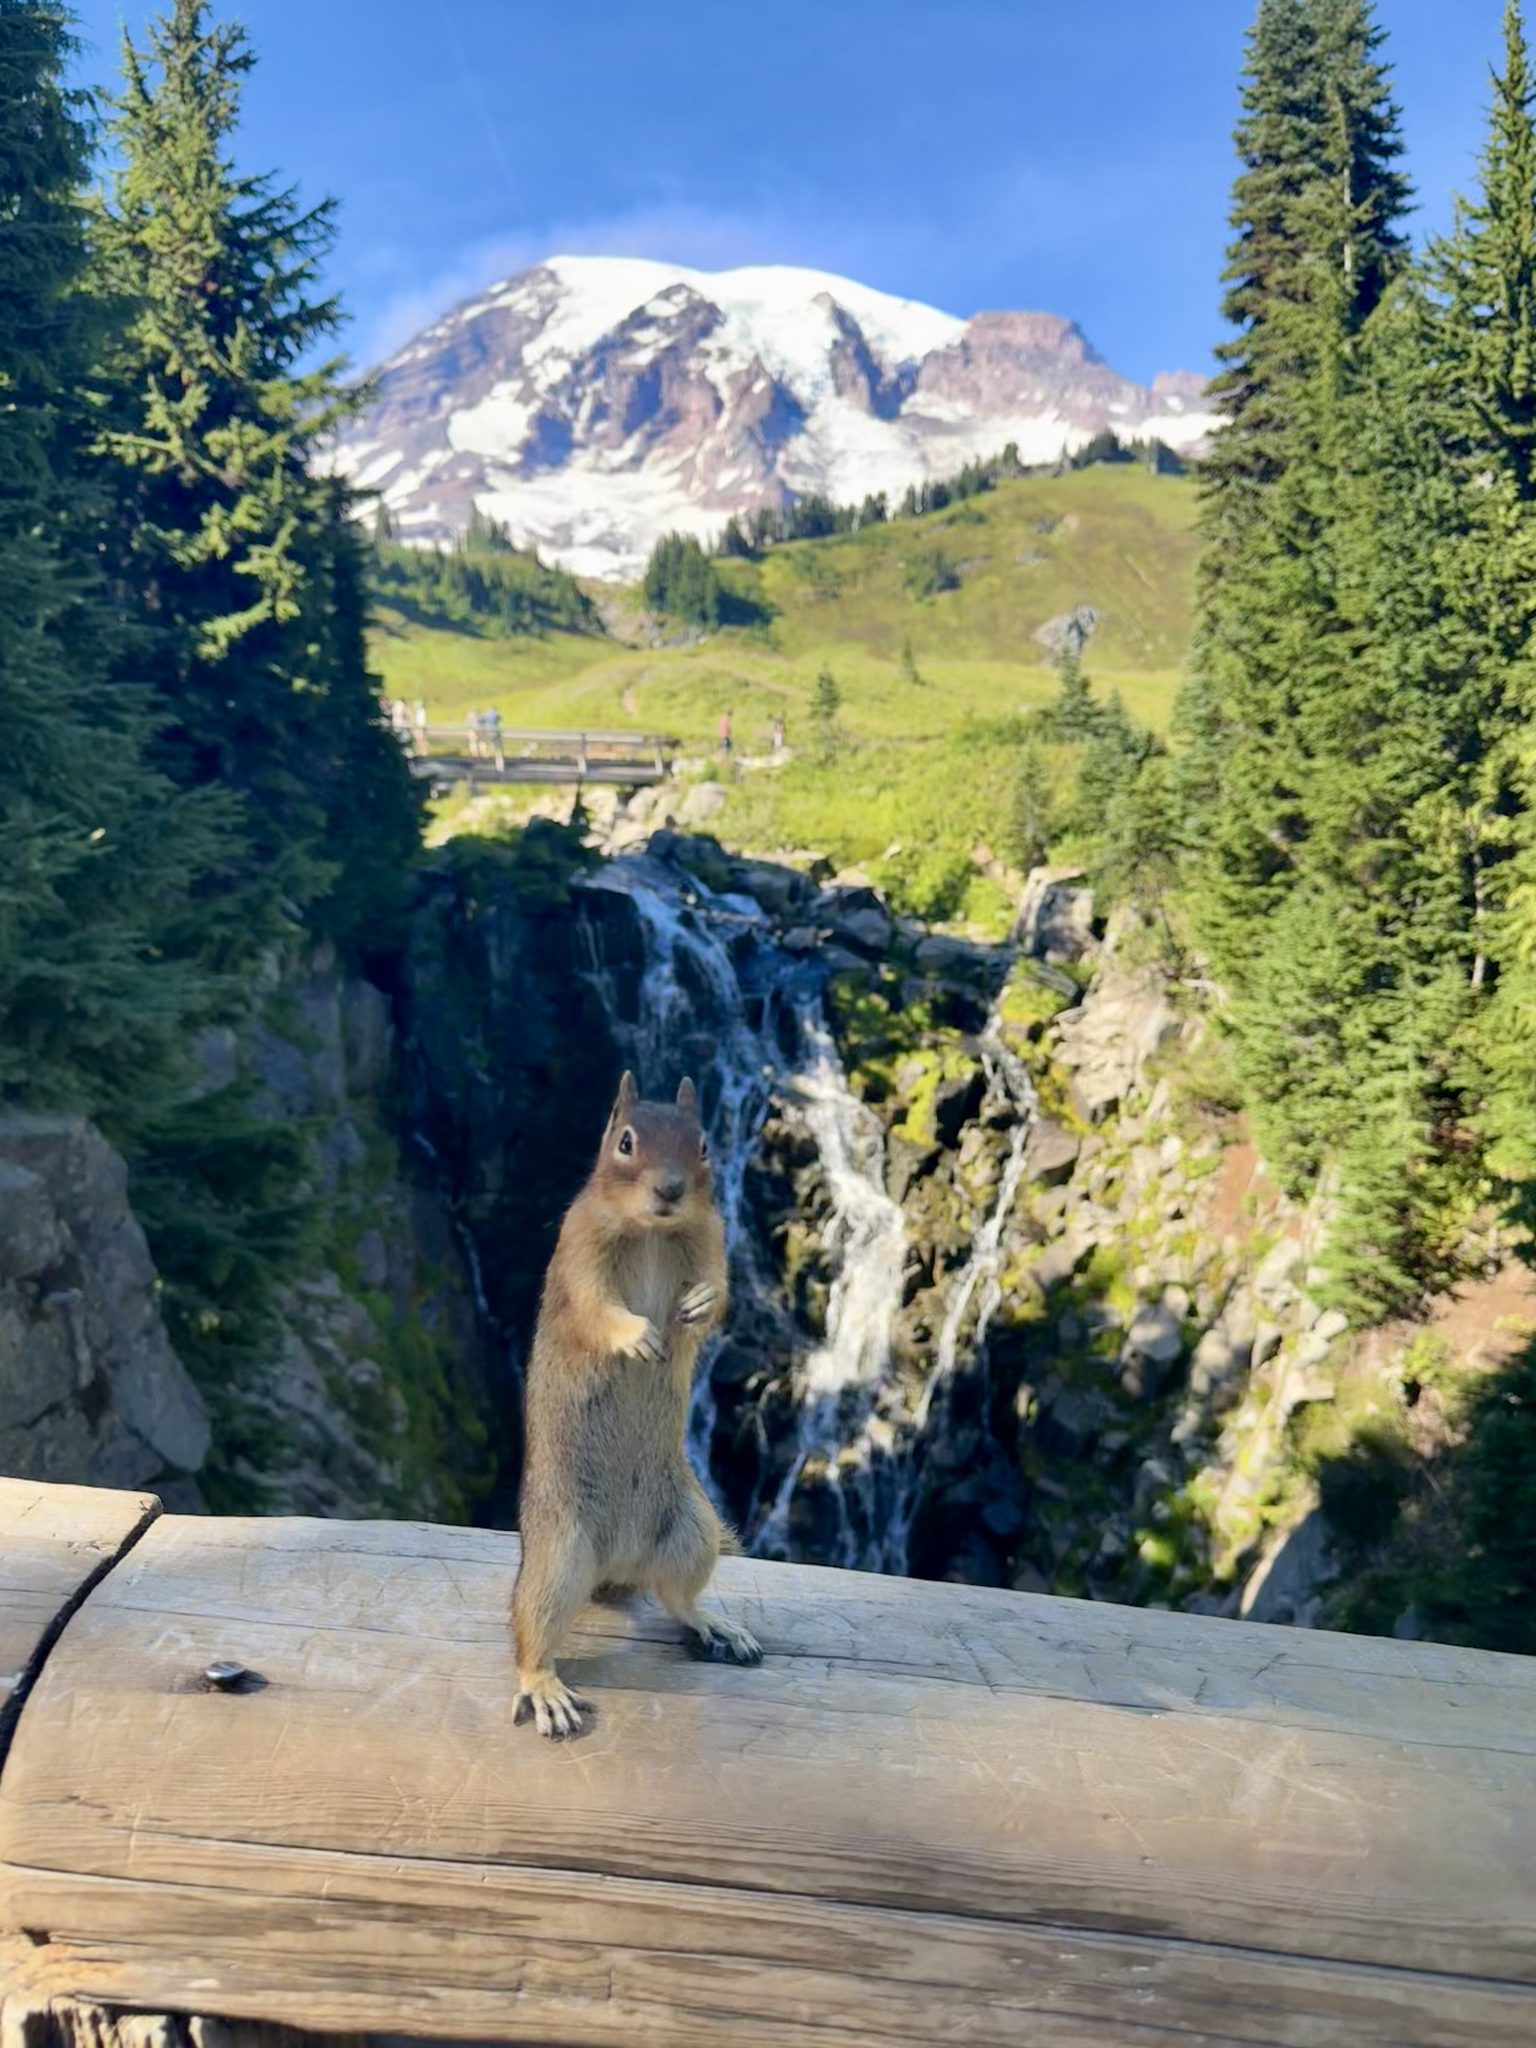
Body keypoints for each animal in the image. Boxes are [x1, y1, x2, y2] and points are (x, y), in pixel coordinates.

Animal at [512, 1069, 763, 1738]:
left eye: (703, 1145)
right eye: (625, 1141)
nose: (671, 1189)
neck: (654, 1231)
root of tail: (616, 1564)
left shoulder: (712, 1240)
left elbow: (720, 1291)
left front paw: (698, 1306)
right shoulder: (579, 1253)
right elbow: (597, 1308)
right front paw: (638, 1336)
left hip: (693, 1532)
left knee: (677, 1599)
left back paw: (714, 1624)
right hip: (557, 1555)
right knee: (529, 1630)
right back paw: (544, 1687)